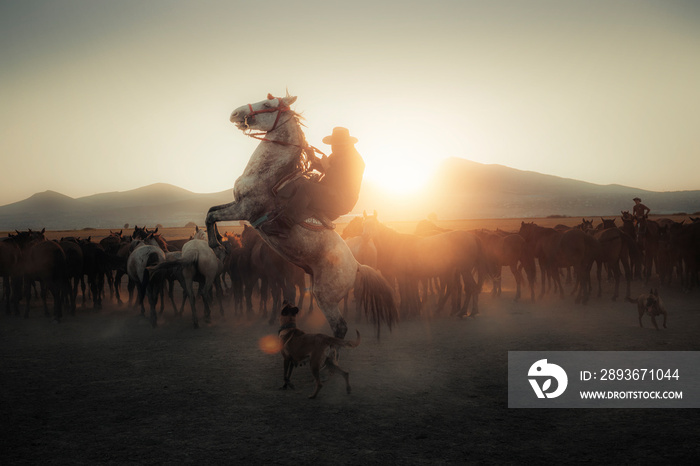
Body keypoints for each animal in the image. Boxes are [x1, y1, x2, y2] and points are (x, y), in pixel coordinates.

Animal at [205, 92, 396, 338]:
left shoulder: (246, 209)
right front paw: (219, 244)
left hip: (325, 297)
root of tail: (356, 266)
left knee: (340, 327)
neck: (269, 176)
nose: (235, 113)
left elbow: (211, 217)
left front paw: (218, 247)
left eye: (267, 104)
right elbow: (211, 212)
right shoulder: (237, 204)